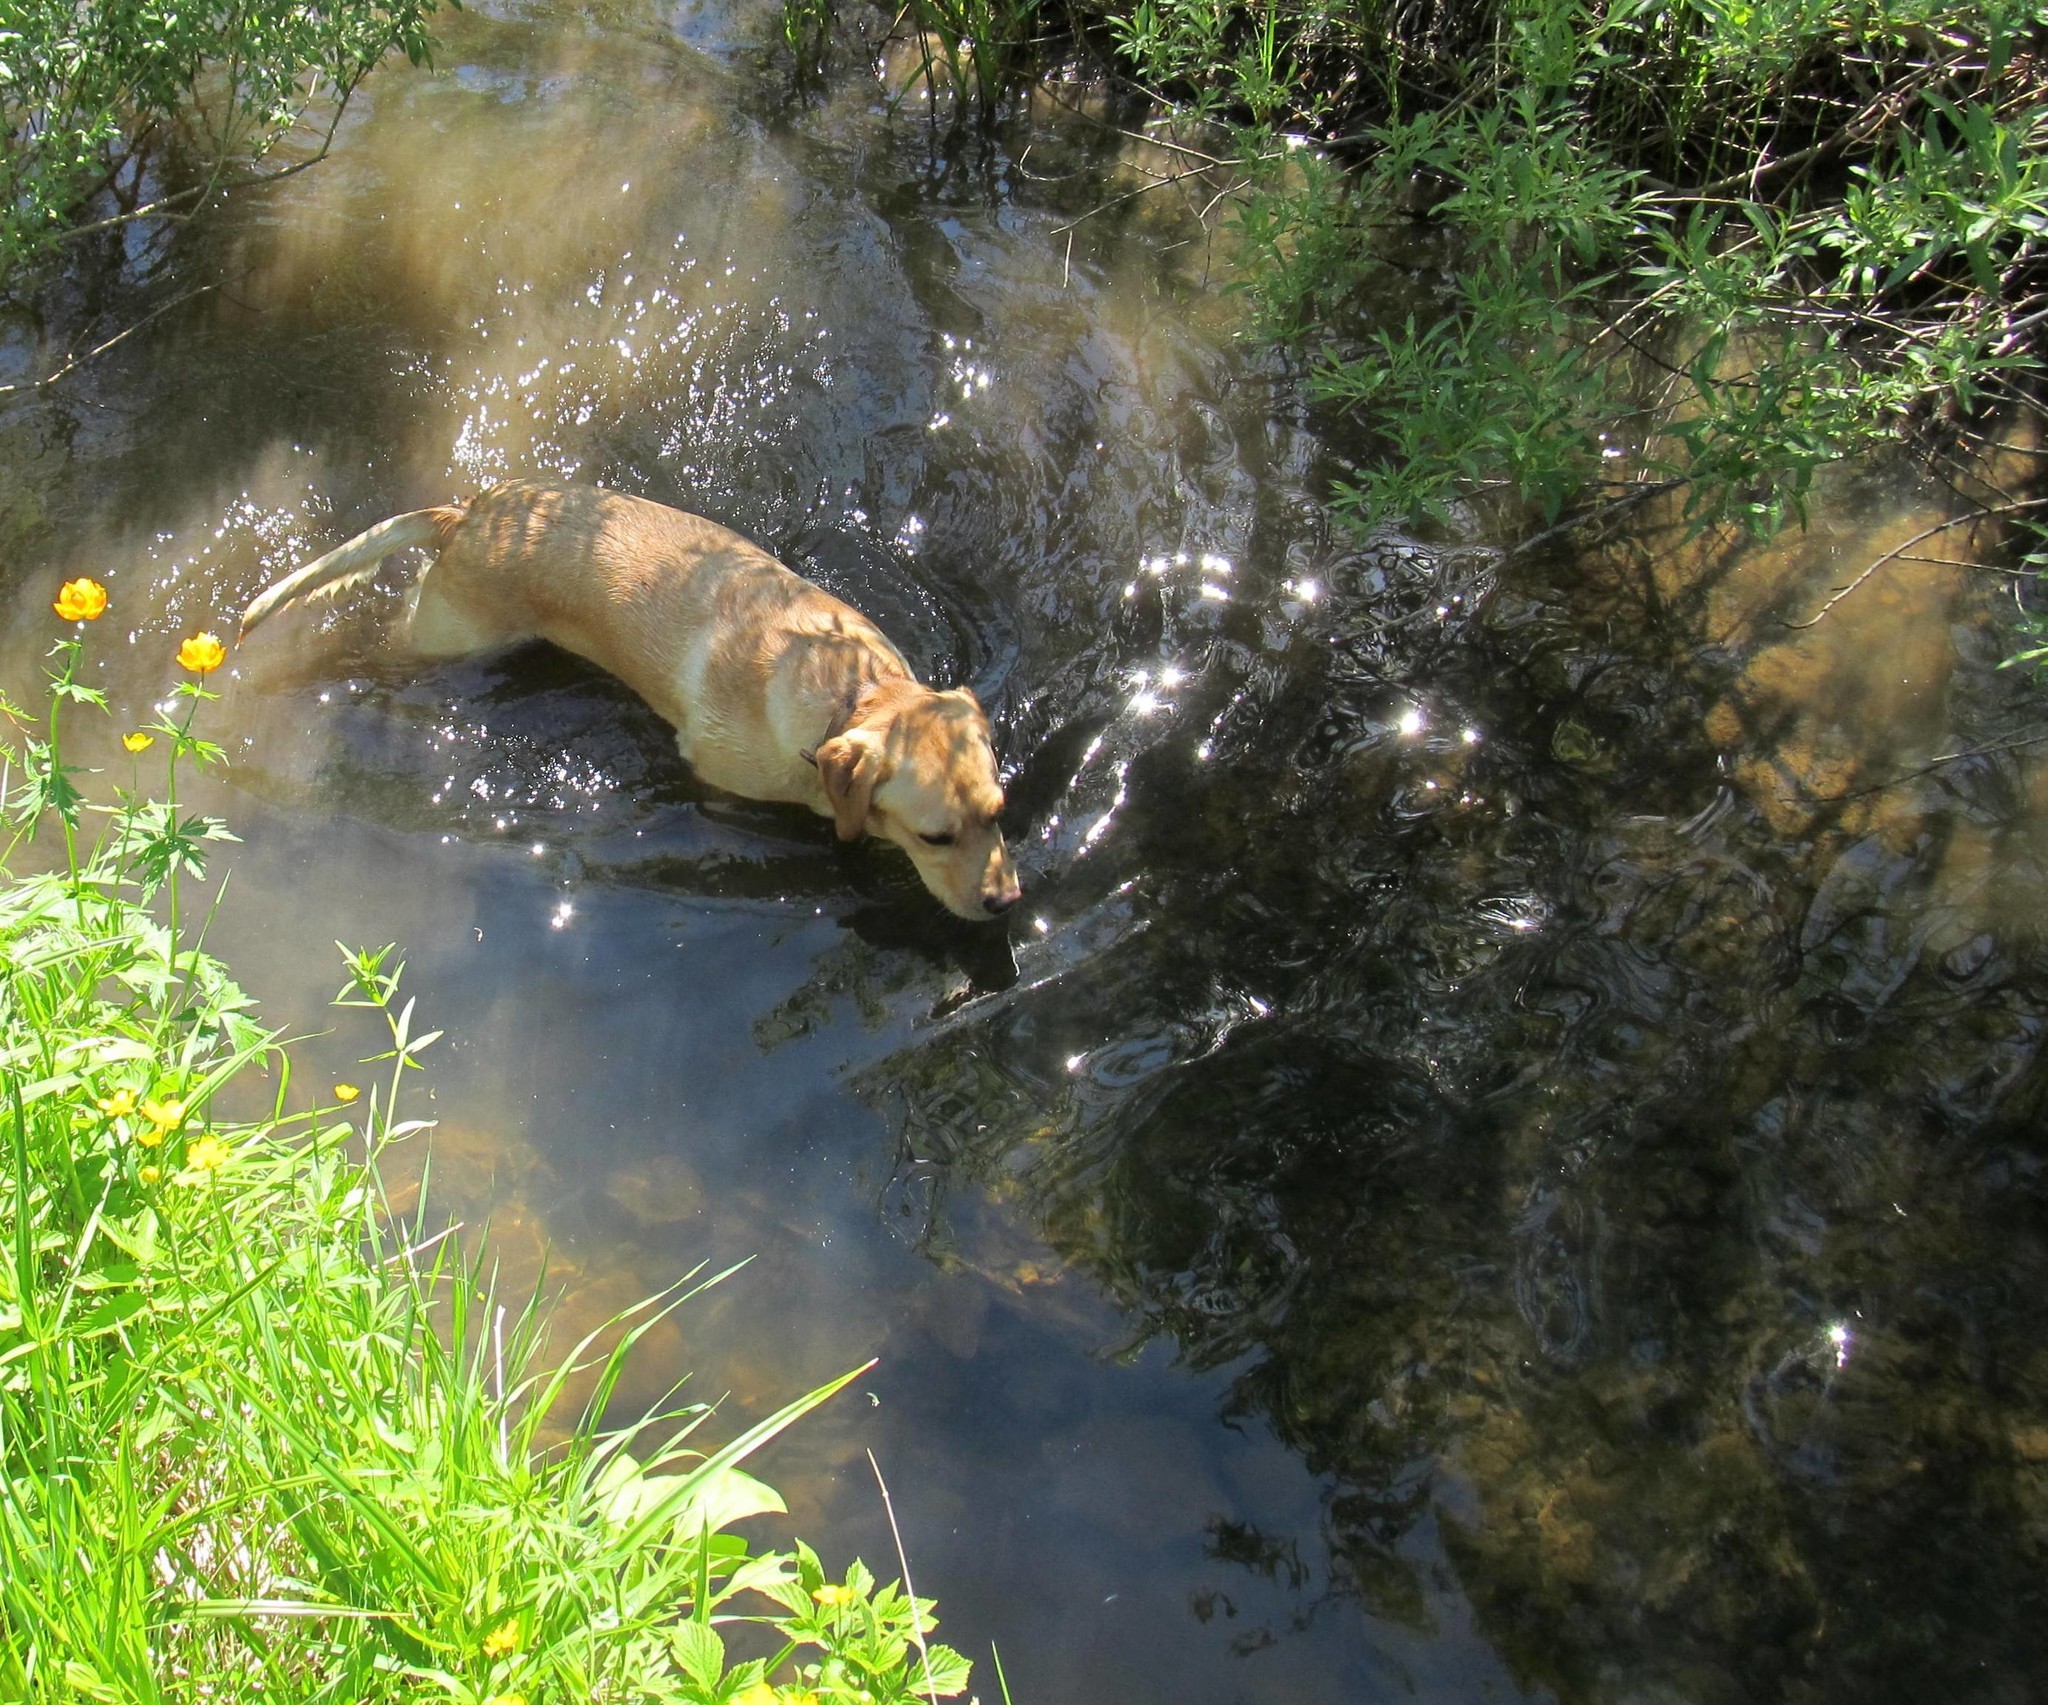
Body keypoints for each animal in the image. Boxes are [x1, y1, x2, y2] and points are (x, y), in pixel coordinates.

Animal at [243, 478, 1024, 916]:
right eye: (935, 837)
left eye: (999, 811)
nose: (1006, 902)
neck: (849, 695)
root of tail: (463, 517)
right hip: (442, 638)